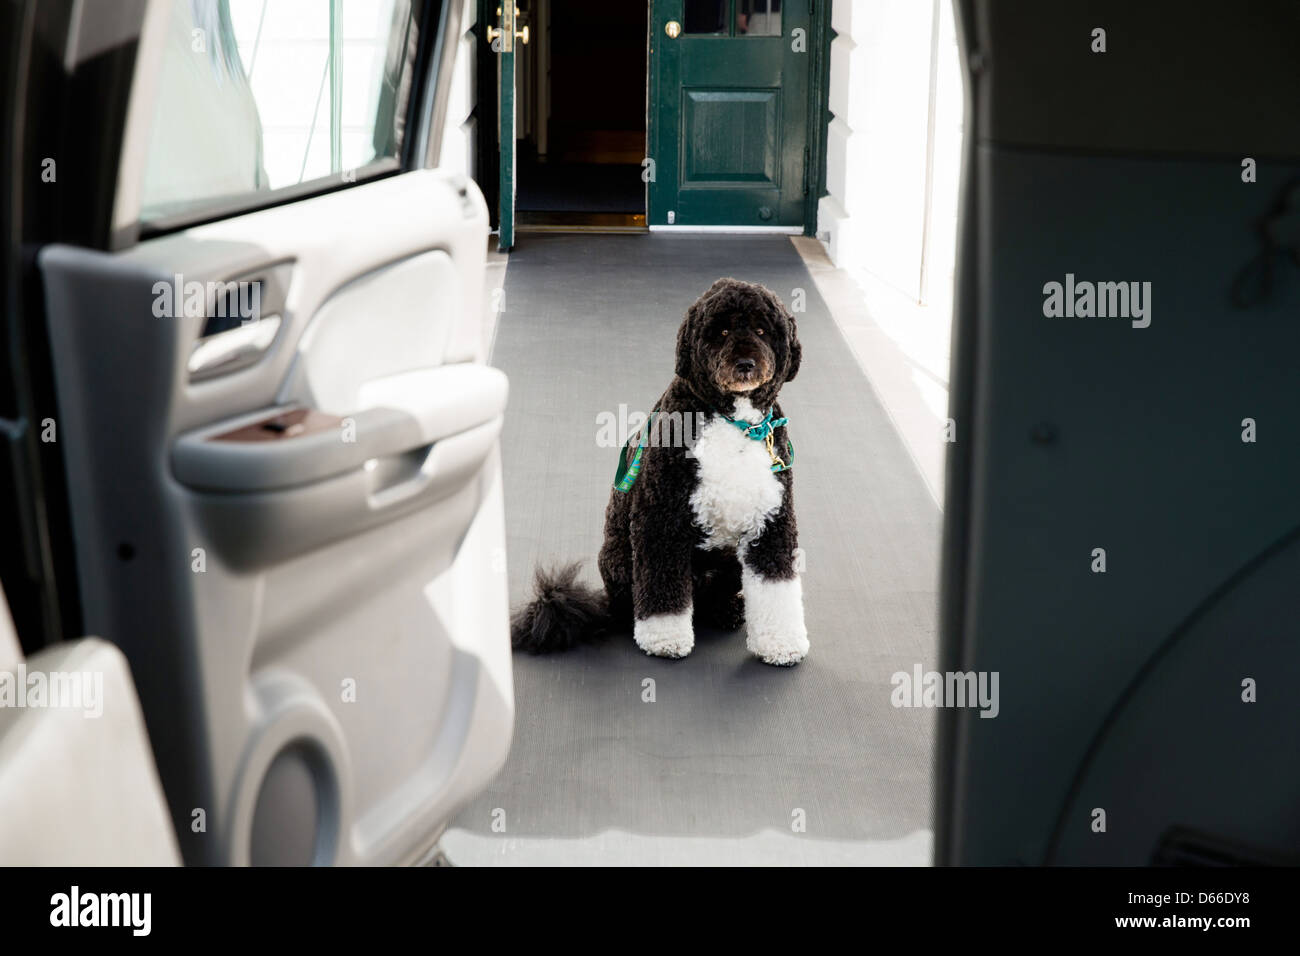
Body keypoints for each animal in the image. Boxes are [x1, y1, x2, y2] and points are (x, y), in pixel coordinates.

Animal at [506, 277, 800, 665]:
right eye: (720, 331)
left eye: (762, 329)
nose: (745, 364)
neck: (732, 421)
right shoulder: (660, 516)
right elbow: (662, 587)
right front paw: (665, 639)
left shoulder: (772, 521)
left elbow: (777, 585)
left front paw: (781, 644)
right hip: (620, 561)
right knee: (634, 601)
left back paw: (727, 610)